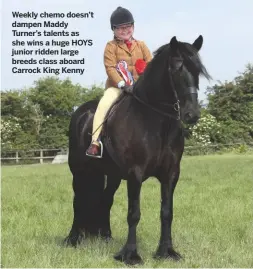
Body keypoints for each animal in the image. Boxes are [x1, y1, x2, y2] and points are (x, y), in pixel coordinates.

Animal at [64, 35, 211, 264]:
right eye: (176, 69)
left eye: (197, 71)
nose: (192, 114)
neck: (155, 121)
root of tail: (81, 112)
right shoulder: (135, 173)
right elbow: (133, 213)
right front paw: (130, 254)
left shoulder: (171, 174)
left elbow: (167, 212)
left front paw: (166, 251)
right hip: (79, 171)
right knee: (78, 200)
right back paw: (72, 239)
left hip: (112, 174)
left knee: (106, 199)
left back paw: (105, 237)